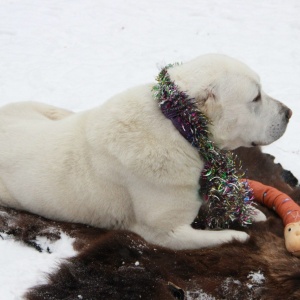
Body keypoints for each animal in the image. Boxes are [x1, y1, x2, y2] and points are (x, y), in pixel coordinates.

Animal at [0, 54, 292, 251]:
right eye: (256, 98)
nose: (289, 112)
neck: (182, 126)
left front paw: (250, 210)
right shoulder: (167, 233)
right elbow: (220, 236)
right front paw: (239, 234)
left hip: (42, 108)